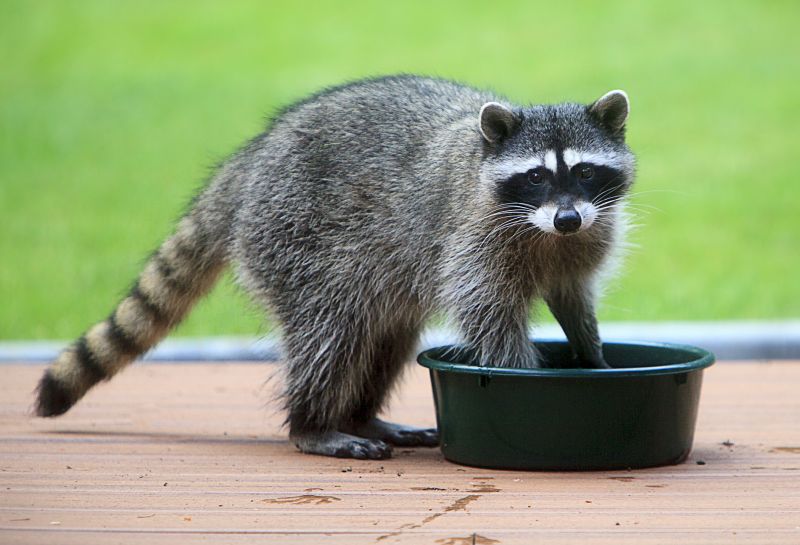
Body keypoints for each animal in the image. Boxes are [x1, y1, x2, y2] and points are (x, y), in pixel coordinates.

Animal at [35, 75, 635, 460]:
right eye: (535, 176)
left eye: (584, 172)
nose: (565, 218)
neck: (546, 232)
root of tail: (251, 160)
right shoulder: (474, 236)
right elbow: (488, 312)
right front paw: (523, 375)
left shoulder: (588, 231)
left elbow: (571, 294)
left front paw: (592, 354)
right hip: (295, 239)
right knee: (331, 333)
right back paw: (313, 423)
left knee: (385, 338)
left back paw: (361, 413)